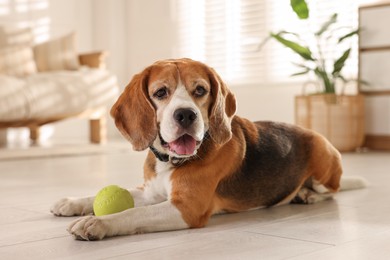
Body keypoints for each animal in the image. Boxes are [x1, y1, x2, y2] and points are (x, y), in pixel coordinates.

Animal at [50, 58, 346, 241]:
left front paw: (97, 223)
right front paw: (72, 202)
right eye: (160, 92)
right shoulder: (151, 192)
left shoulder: (187, 208)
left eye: (200, 90)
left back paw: (307, 195)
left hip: (323, 161)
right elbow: (116, 198)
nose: (185, 115)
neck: (170, 160)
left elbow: (133, 213)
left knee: (332, 191)